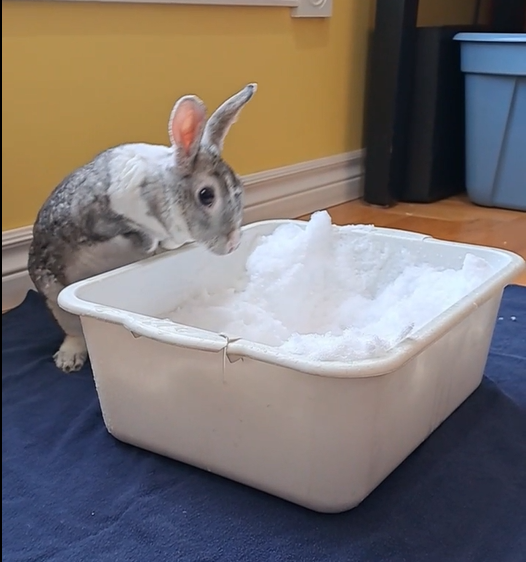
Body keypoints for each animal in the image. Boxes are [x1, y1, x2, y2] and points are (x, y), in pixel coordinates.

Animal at [28, 83, 257, 374]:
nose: (234, 242)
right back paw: (68, 360)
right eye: (207, 195)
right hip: (55, 297)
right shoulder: (101, 221)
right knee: (73, 332)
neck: (160, 192)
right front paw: (151, 246)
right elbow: (138, 235)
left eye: (239, 188)